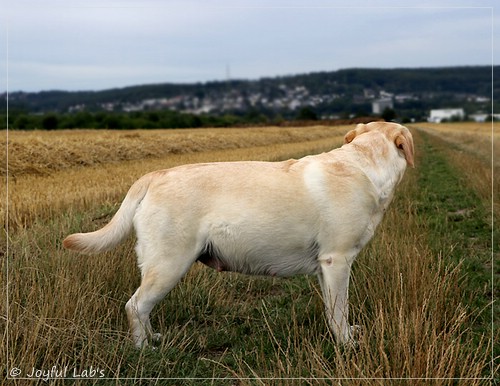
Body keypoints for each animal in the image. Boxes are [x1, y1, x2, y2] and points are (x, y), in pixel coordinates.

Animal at [63, 122, 414, 348]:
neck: (364, 166)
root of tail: (153, 175)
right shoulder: (337, 260)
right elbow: (340, 310)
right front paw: (346, 344)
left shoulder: (325, 267)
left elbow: (331, 308)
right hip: (169, 264)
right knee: (135, 306)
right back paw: (143, 350)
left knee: (143, 307)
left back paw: (154, 339)